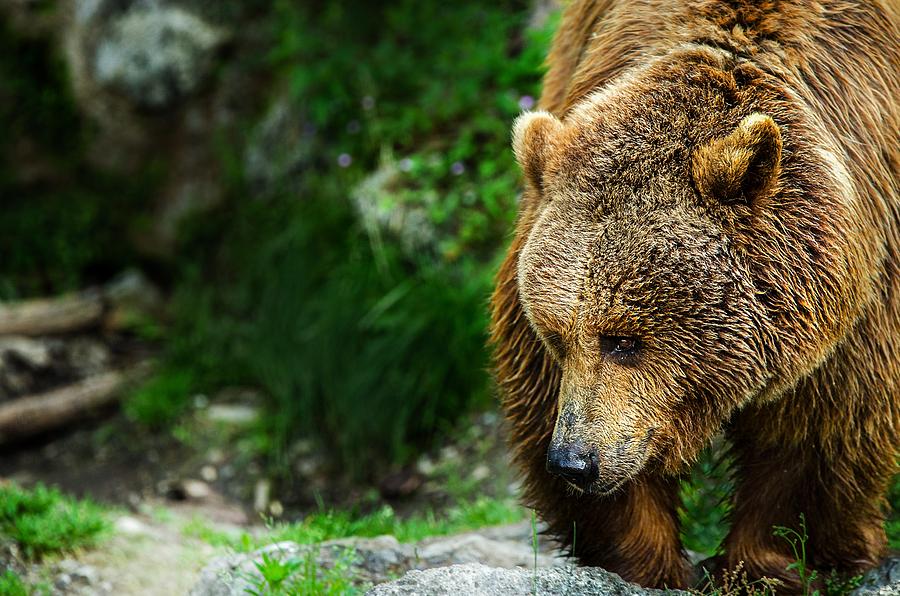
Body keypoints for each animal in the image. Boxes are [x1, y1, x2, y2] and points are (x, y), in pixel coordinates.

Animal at [492, 0, 900, 588]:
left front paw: (765, 565)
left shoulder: (859, 293)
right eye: (556, 336)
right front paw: (647, 561)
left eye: (624, 340)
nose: (574, 461)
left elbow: (816, 433)